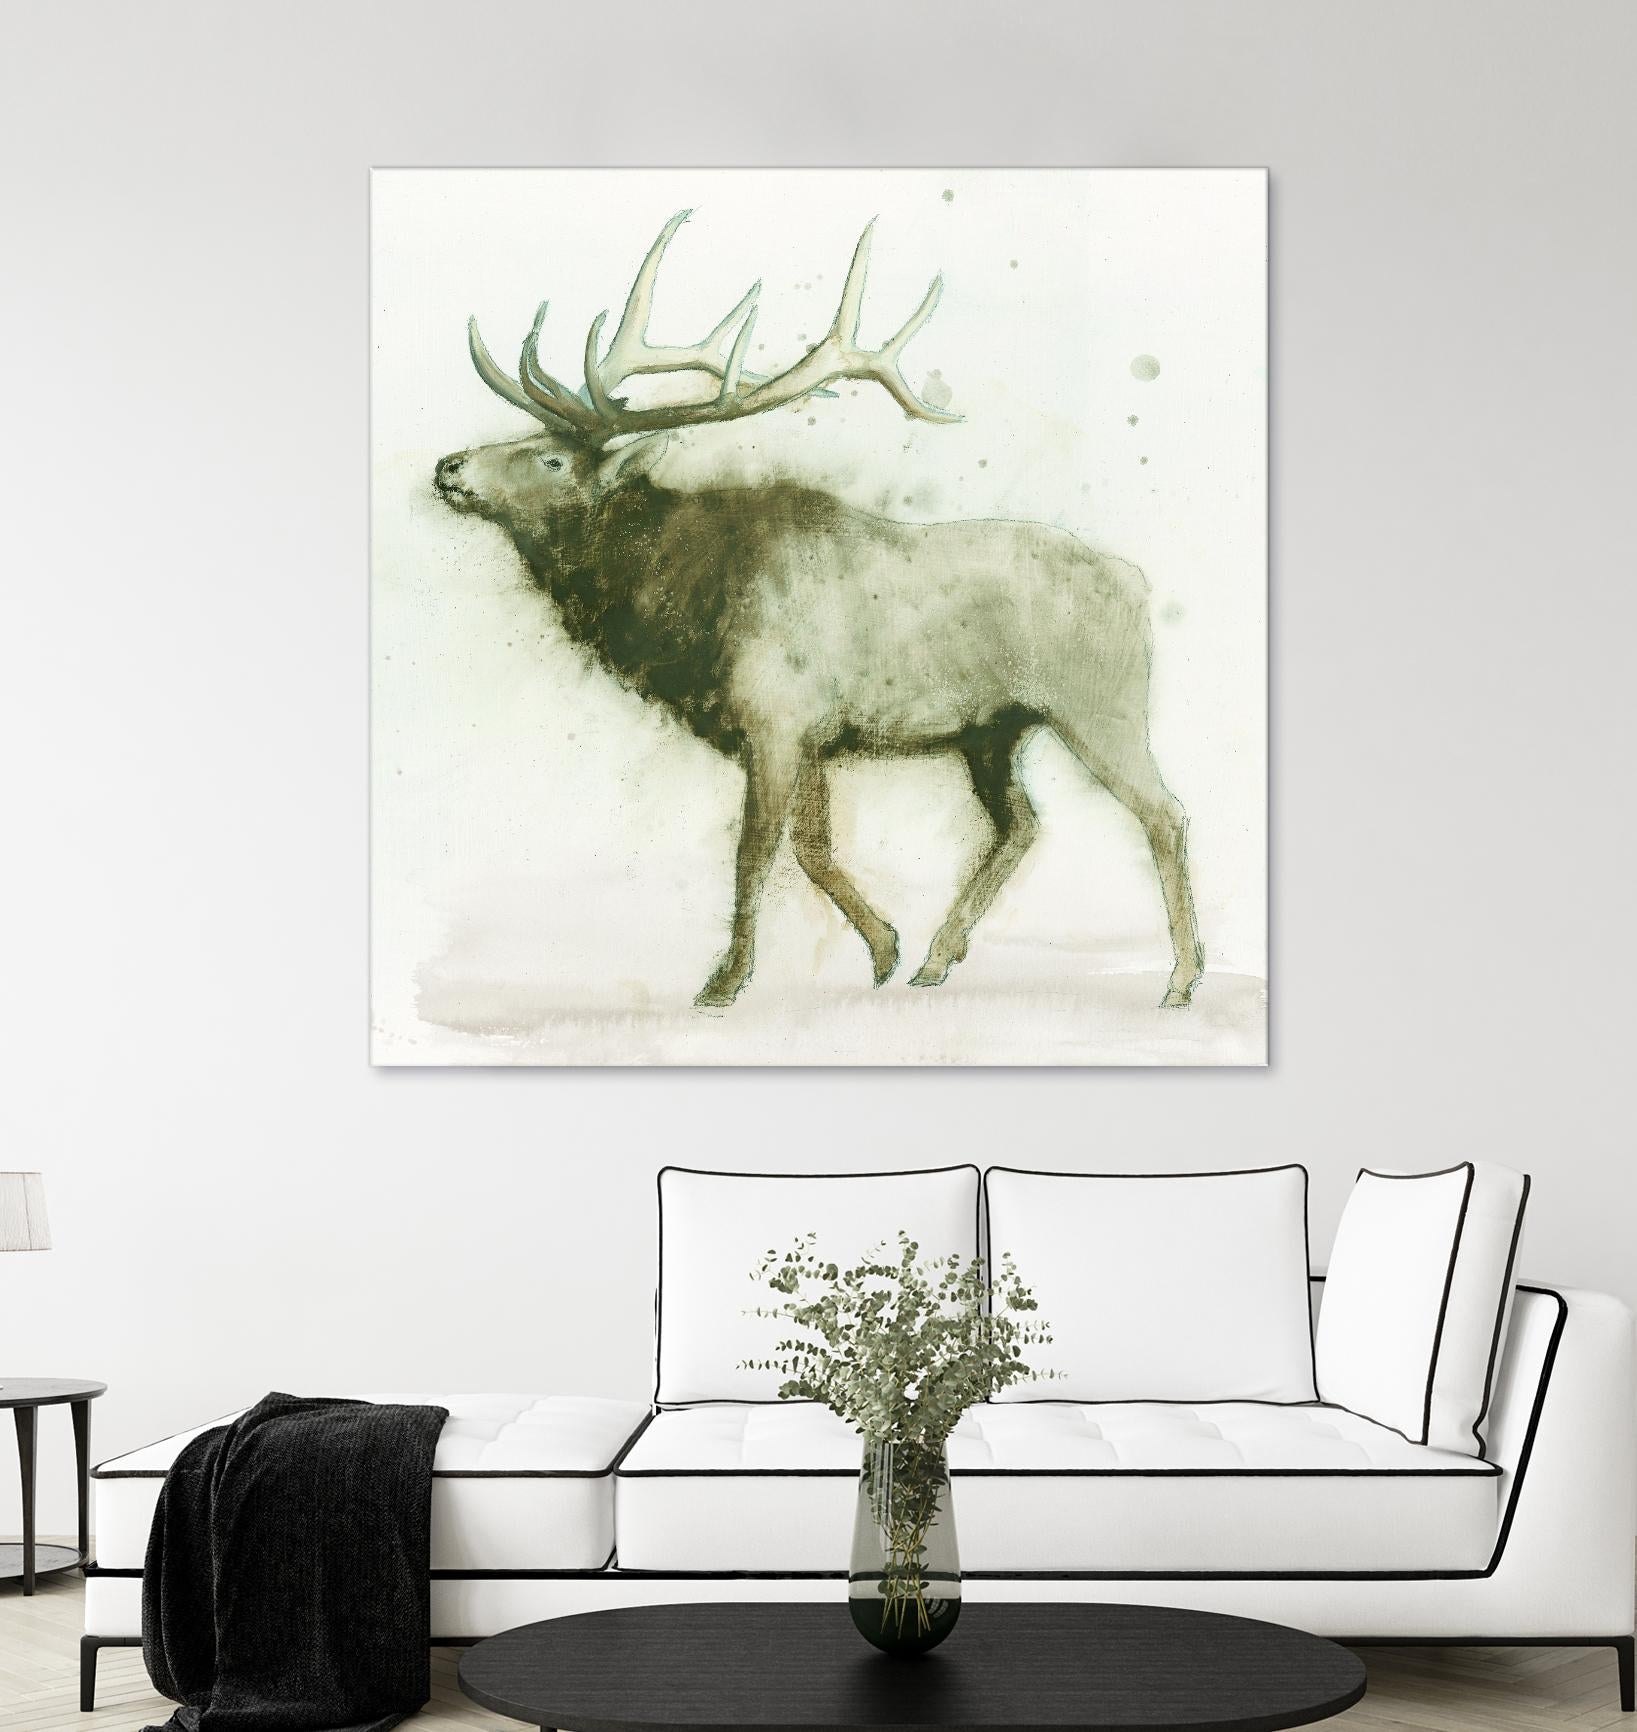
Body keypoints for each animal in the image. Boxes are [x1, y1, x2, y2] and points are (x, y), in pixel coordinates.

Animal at [433, 211, 1203, 1011]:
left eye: (551, 459)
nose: (447, 468)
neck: (681, 613)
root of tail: (1137, 585)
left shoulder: (776, 718)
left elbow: (754, 854)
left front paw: (724, 981)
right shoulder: (814, 737)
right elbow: (812, 847)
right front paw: (885, 948)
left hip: (1099, 705)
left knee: (1164, 813)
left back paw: (1180, 980)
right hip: (992, 730)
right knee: (1021, 824)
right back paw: (938, 957)